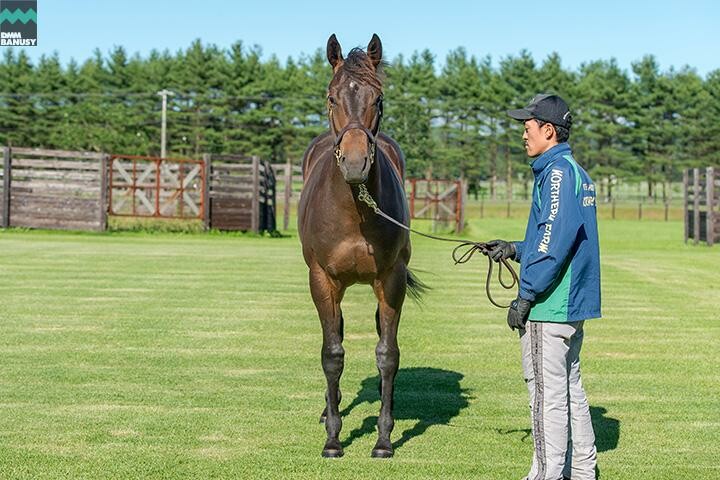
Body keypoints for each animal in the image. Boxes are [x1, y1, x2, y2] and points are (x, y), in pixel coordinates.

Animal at [298, 33, 424, 458]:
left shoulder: (391, 279)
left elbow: (387, 354)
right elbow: (331, 354)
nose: (355, 163)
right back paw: (327, 409)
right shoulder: (322, 280)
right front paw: (333, 439)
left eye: (378, 98)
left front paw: (384, 439)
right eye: (331, 97)